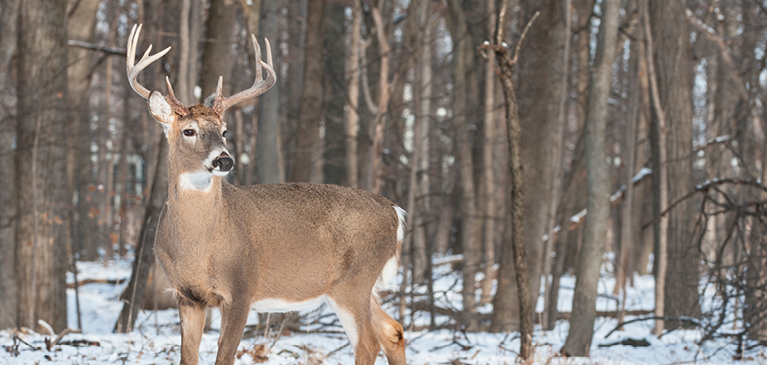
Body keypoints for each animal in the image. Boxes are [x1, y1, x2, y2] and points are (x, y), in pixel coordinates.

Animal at [127, 24, 408, 364]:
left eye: (224, 131)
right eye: (189, 131)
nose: (224, 160)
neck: (198, 247)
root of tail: (395, 212)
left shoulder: (241, 288)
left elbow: (225, 356)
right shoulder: (186, 295)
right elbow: (187, 357)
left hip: (354, 281)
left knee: (368, 342)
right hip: (360, 287)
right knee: (393, 330)